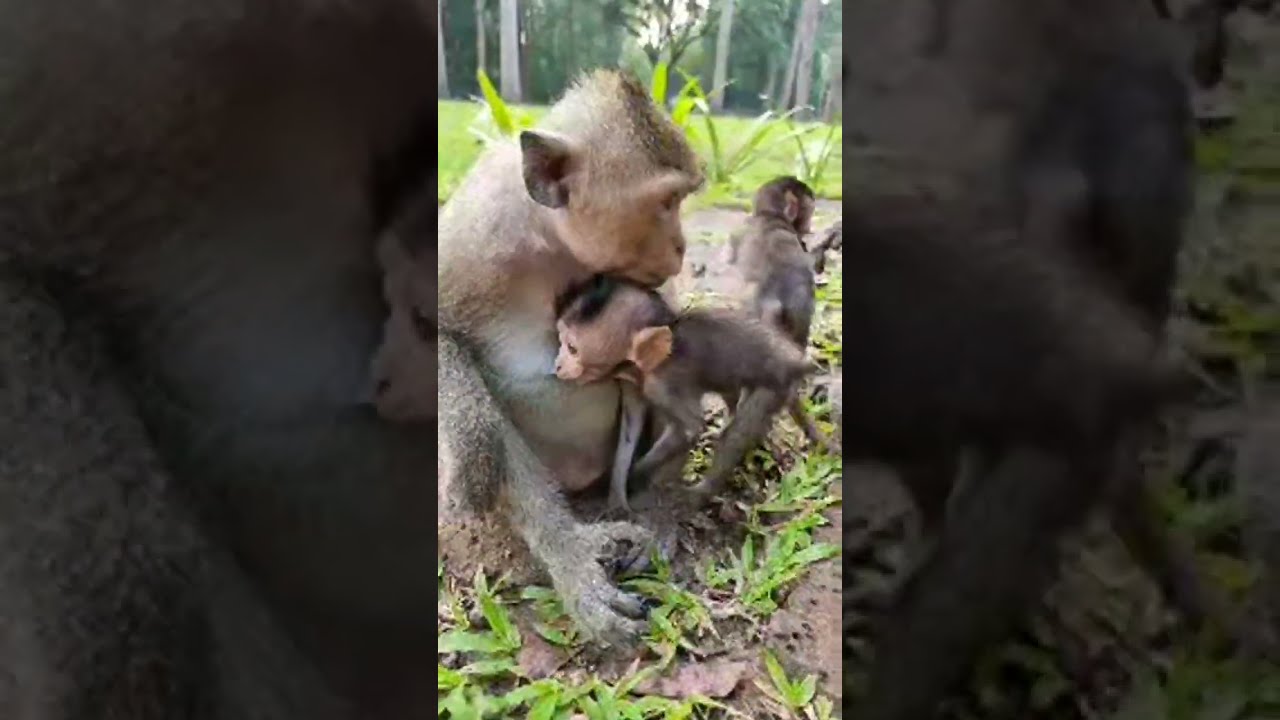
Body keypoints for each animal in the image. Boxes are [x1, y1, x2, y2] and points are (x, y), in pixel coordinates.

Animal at [552, 275, 812, 512]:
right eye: (561, 339)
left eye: (572, 349)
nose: (557, 365)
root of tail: (795, 359)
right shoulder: (634, 383)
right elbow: (631, 425)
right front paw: (616, 495)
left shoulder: (663, 386)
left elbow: (689, 428)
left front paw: (637, 474)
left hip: (773, 386)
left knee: (736, 434)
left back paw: (699, 494)